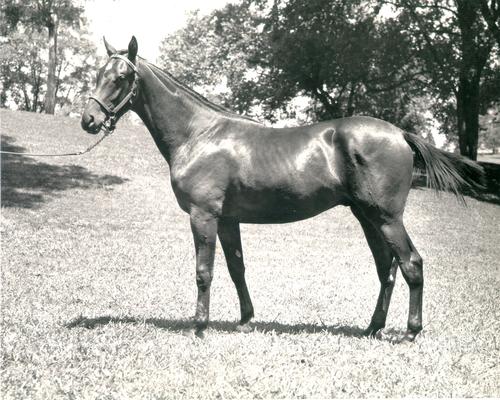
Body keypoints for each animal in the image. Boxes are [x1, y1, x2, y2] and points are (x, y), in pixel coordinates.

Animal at [81, 36, 484, 340]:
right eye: (98, 73)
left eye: (120, 77)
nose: (89, 120)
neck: (200, 134)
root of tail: (399, 133)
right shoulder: (228, 220)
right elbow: (237, 267)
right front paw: (246, 319)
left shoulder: (203, 215)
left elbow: (204, 271)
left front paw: (199, 327)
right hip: (367, 217)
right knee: (386, 267)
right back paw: (373, 327)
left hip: (386, 217)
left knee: (410, 263)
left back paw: (410, 332)